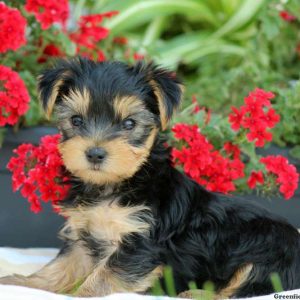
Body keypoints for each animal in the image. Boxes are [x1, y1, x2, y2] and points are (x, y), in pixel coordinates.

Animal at [0, 56, 300, 298]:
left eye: (129, 124)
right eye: (76, 120)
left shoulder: (140, 242)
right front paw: (22, 283)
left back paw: (195, 293)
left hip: (270, 254)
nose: (95, 153)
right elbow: (61, 267)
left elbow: (105, 276)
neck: (114, 186)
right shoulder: (84, 236)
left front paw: (82, 294)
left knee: (247, 285)